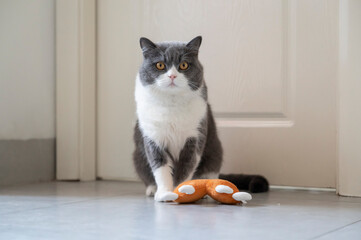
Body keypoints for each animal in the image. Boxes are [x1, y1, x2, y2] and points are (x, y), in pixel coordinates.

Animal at [132, 36, 268, 201]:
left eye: (183, 65)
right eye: (160, 65)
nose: (172, 76)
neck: (172, 103)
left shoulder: (195, 136)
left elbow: (186, 167)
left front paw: (181, 191)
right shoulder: (153, 137)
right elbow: (160, 167)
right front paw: (164, 193)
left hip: (215, 152)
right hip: (138, 156)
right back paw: (152, 189)